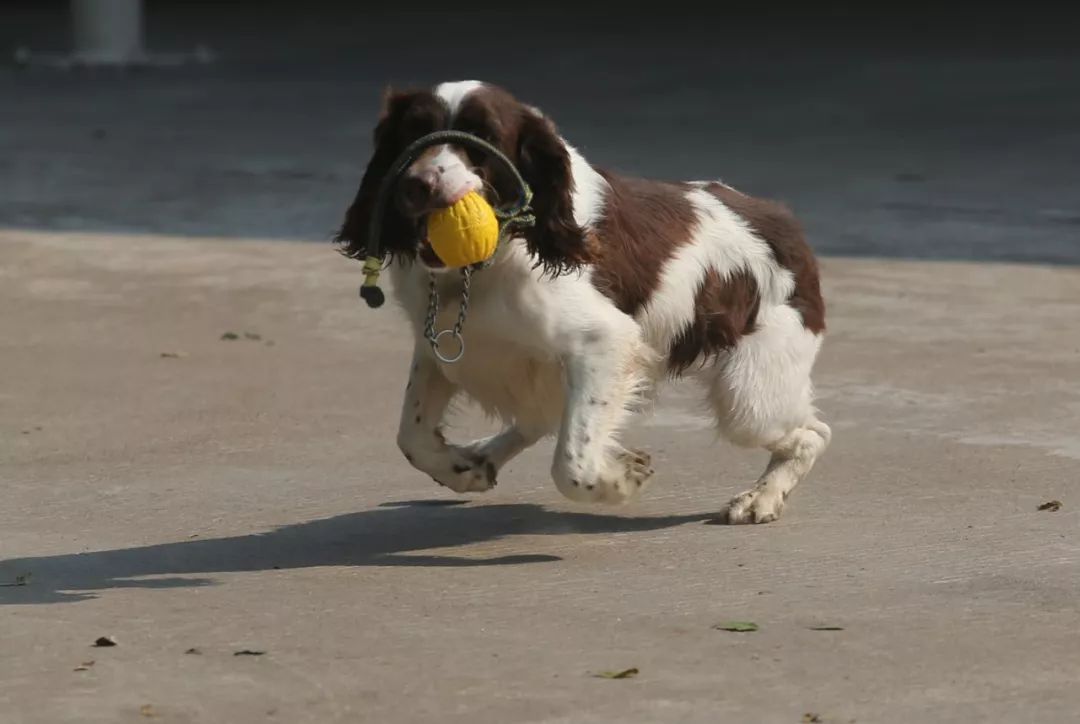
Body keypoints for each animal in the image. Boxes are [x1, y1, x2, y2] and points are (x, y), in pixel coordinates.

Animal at [336, 79, 833, 525]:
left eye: (485, 138)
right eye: (413, 131)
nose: (419, 185)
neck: (486, 264)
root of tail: (781, 218)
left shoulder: (602, 342)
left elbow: (573, 465)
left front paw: (623, 479)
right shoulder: (444, 345)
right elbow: (412, 435)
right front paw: (462, 468)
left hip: (748, 398)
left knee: (813, 433)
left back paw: (760, 499)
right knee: (535, 419)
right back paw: (482, 456)